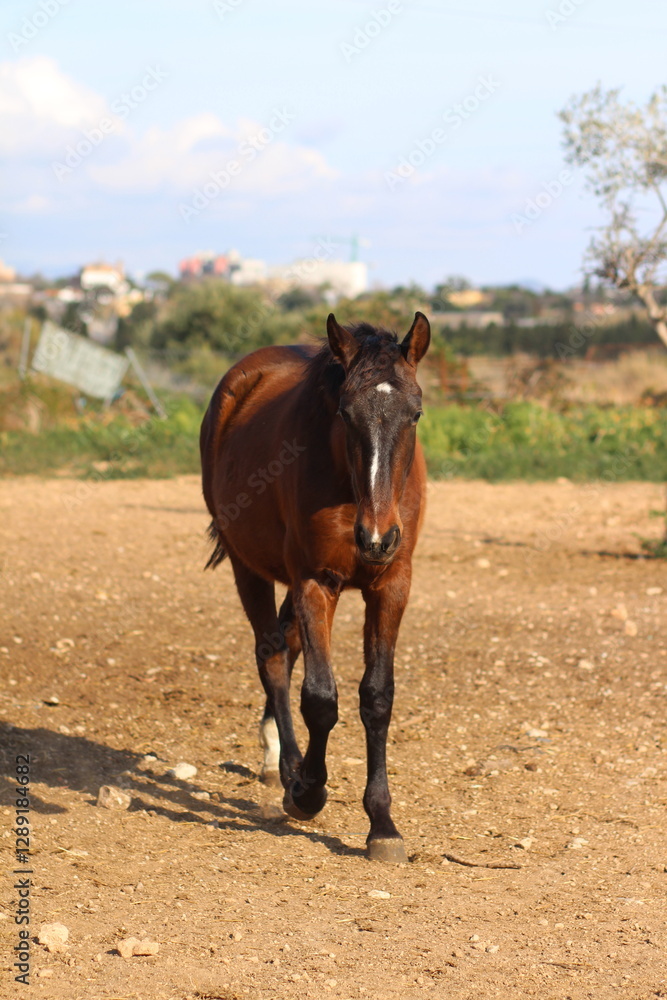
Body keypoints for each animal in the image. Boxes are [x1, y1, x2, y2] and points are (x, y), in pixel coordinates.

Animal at [200, 311, 430, 862]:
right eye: (345, 413)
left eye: (415, 413)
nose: (377, 537)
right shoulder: (314, 583)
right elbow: (320, 699)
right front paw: (307, 790)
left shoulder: (392, 585)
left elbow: (378, 697)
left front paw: (383, 825)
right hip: (248, 566)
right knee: (273, 656)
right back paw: (286, 768)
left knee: (288, 645)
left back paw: (275, 754)